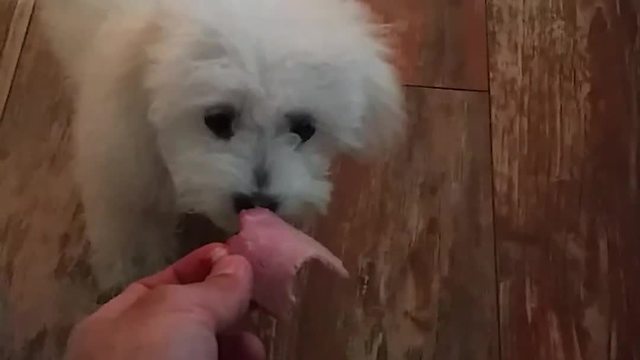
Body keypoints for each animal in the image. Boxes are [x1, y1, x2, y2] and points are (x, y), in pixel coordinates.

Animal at [40, 0, 402, 292]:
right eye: (217, 119)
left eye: (305, 128)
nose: (256, 203)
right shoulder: (122, 163)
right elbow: (128, 223)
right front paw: (129, 273)